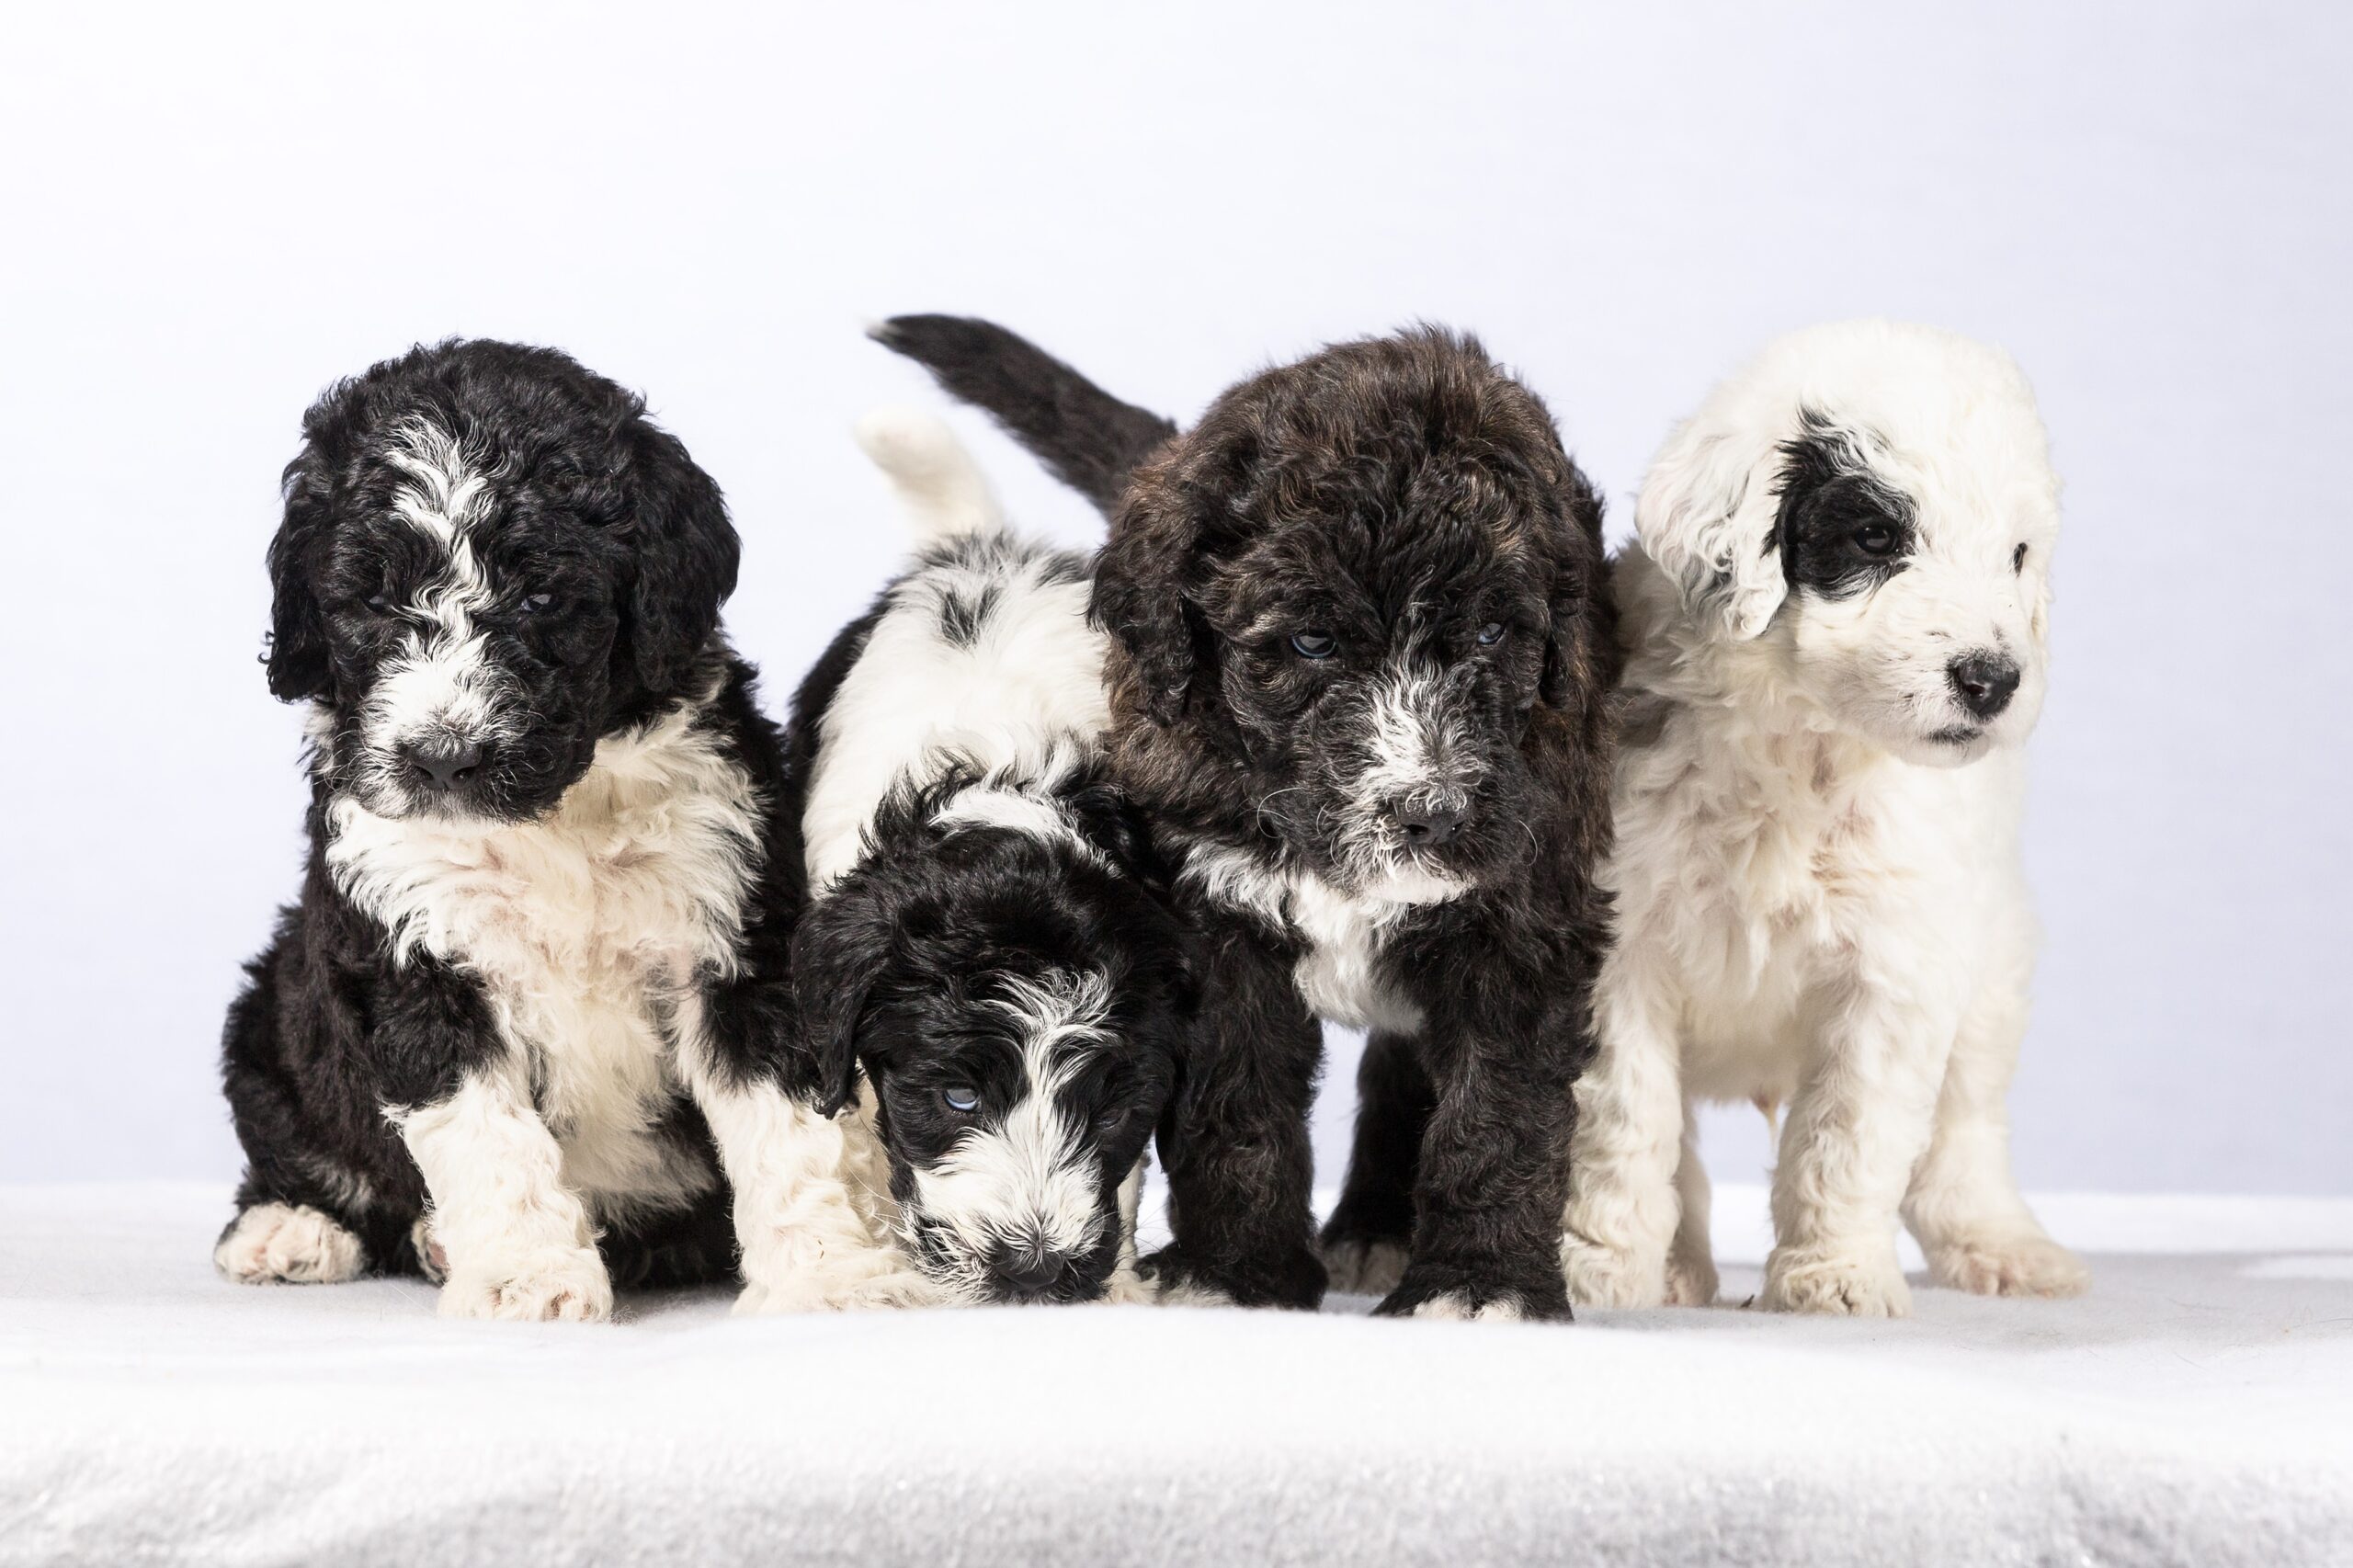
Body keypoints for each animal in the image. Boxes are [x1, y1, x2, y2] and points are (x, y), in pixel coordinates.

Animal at [216, 346, 922, 1318]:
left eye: (542, 595)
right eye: (370, 599)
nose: (443, 760)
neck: (554, 822)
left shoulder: (741, 930)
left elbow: (790, 1123)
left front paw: (828, 1273)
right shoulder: (412, 948)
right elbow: (486, 1134)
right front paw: (528, 1276)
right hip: (269, 1011)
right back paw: (292, 1226)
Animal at [790, 409, 1195, 1299]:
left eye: (1109, 1111)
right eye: (957, 1100)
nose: (1034, 1270)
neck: (1010, 786)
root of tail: (981, 546)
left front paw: (1121, 1287)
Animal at [880, 311, 1619, 1309]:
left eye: (1494, 632)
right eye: (1309, 642)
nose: (1430, 811)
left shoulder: (1523, 909)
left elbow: (1500, 1106)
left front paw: (1480, 1283)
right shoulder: (1214, 916)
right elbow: (1235, 1103)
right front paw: (1233, 1272)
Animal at [1552, 317, 2089, 1309]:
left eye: (2016, 555)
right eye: (1876, 533)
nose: (1991, 679)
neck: (1800, 741)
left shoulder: (1895, 966)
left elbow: (1847, 1133)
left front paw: (1833, 1277)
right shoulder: (1615, 947)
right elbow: (1624, 1122)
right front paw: (1597, 1269)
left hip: (1993, 962)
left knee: (1965, 1128)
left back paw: (2006, 1245)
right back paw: (1679, 1266)